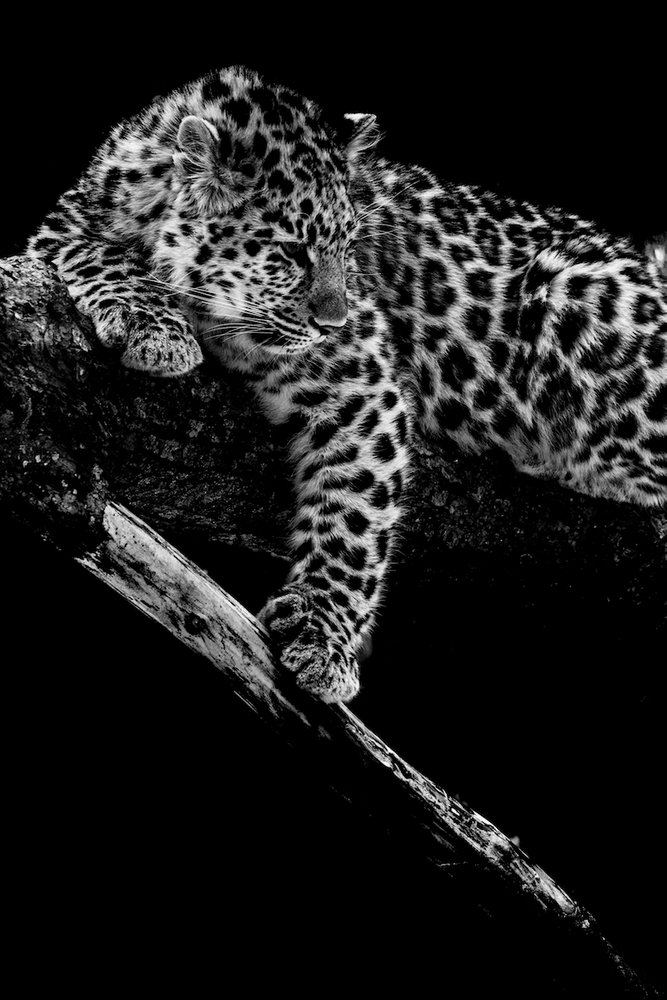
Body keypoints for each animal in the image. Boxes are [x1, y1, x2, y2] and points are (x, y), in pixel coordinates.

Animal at [27, 66, 667, 704]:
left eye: (349, 245)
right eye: (292, 252)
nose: (334, 323)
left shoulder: (363, 385)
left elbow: (356, 517)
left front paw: (321, 635)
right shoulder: (61, 227)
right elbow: (94, 249)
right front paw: (155, 324)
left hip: (567, 290)